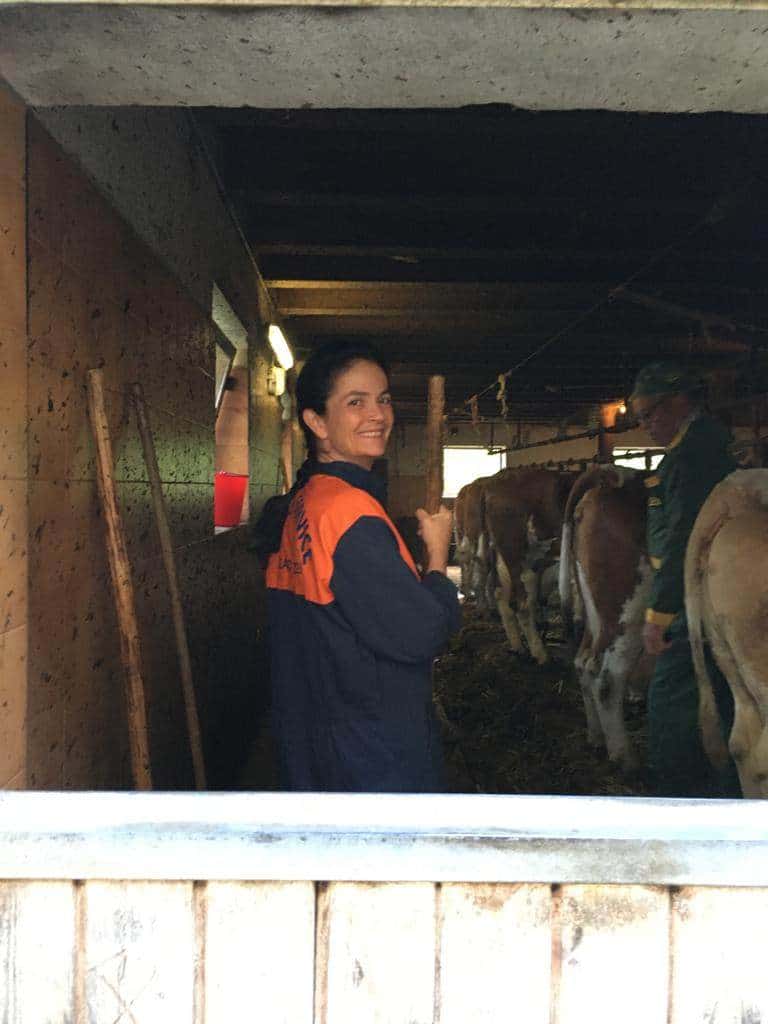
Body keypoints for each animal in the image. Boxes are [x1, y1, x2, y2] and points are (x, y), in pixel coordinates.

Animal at [484, 467, 576, 664]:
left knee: (503, 598)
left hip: (505, 561)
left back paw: (519, 646)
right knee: (522, 605)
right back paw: (540, 654)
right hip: (520, 558)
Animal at [559, 466, 654, 772]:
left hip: (595, 615)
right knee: (607, 678)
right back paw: (625, 757)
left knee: (583, 663)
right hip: (628, 610)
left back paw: (597, 738)